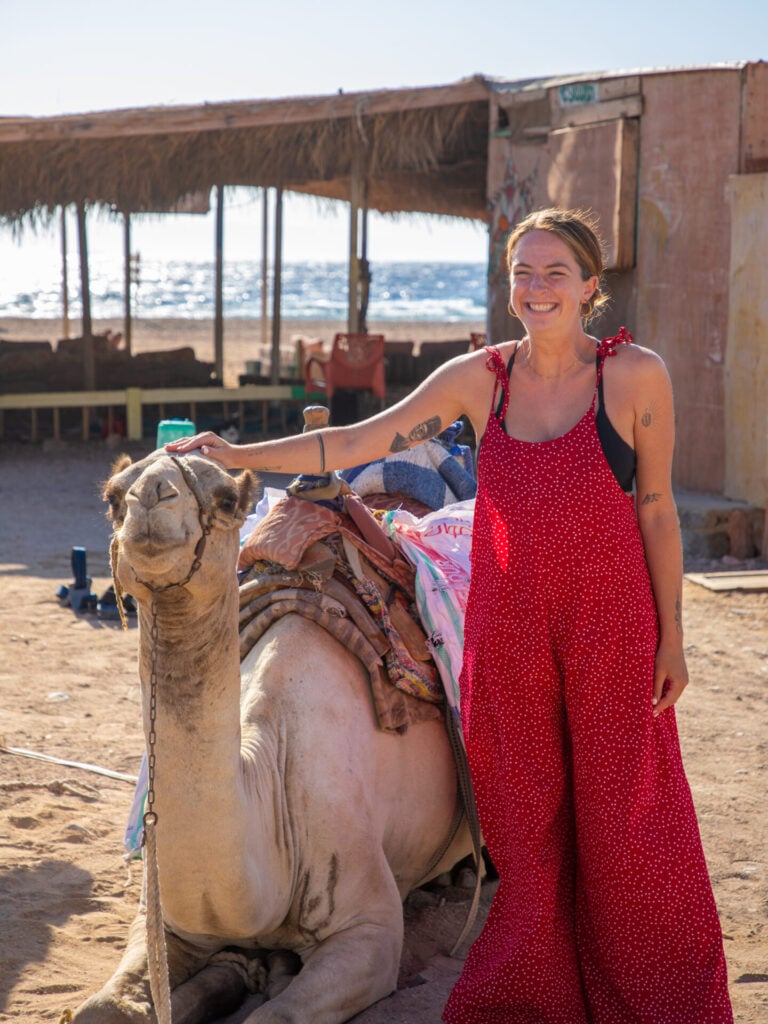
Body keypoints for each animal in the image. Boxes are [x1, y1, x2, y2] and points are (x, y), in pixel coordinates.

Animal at [70, 449, 472, 1024]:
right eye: (112, 496)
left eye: (225, 500)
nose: (151, 495)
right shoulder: (162, 920)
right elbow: (103, 1008)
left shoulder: (369, 931)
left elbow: (274, 1014)